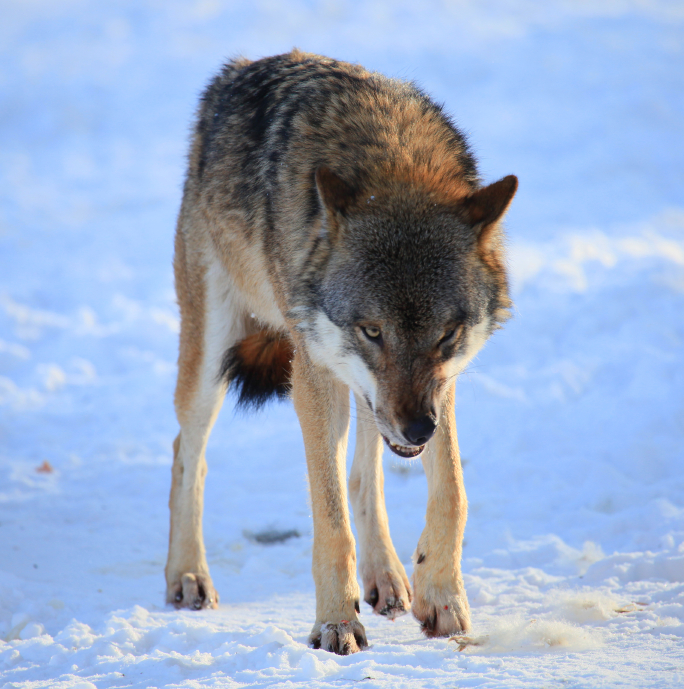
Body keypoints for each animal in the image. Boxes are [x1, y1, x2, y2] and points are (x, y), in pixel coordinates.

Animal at [167, 49, 520, 656]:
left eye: (445, 334)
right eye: (372, 330)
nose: (417, 429)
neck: (394, 161)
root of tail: (236, 69)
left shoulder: (442, 386)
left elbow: (451, 492)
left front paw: (442, 597)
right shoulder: (312, 376)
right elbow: (330, 523)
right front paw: (335, 622)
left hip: (363, 394)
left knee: (363, 473)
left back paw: (387, 578)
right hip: (213, 357)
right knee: (188, 453)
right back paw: (188, 575)